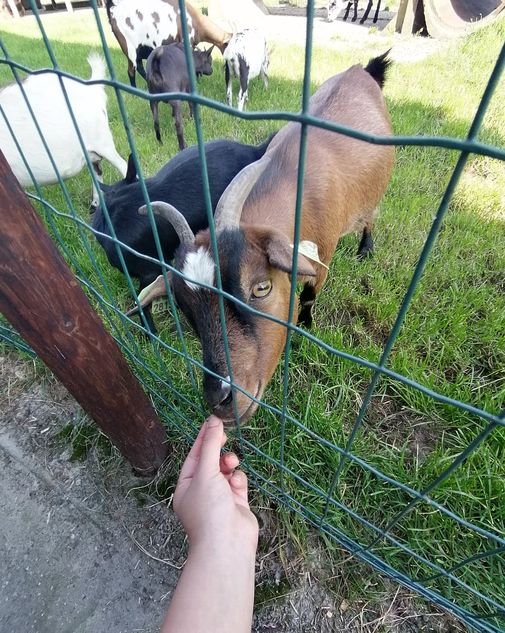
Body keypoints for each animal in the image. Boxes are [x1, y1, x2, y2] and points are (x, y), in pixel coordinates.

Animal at [133, 50, 394, 424]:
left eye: (261, 288)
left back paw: (365, 248)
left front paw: (305, 328)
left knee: (370, 215)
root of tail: (361, 71)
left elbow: (309, 297)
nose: (220, 399)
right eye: (183, 306)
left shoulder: (322, 258)